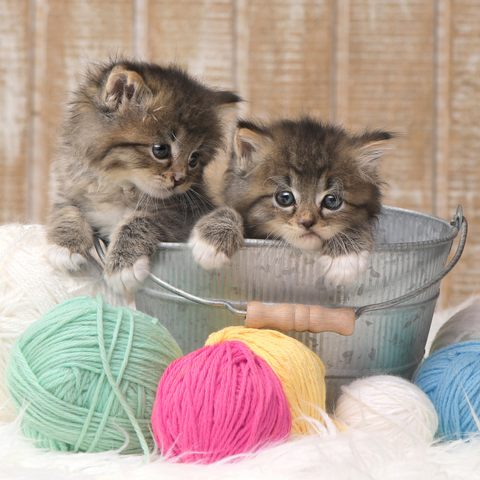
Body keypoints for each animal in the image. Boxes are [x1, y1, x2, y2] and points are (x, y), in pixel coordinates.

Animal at [47, 58, 242, 294]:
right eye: (161, 150)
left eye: (194, 159)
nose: (180, 179)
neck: (118, 186)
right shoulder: (70, 187)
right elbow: (66, 210)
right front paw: (64, 247)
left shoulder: (182, 215)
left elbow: (138, 219)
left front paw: (124, 267)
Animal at [189, 116, 396, 284]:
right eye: (284, 198)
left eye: (332, 201)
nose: (307, 222)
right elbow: (228, 210)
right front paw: (211, 242)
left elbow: (358, 224)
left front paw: (345, 258)